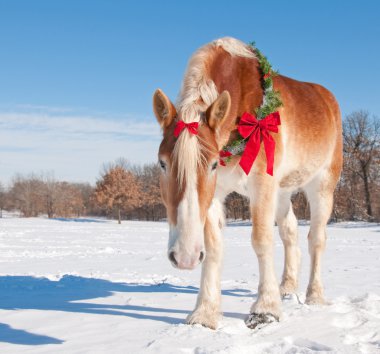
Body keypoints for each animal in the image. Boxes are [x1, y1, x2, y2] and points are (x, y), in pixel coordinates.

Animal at [153, 36, 342, 330]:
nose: (184, 257)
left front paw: (266, 309)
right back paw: (286, 287)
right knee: (290, 232)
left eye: (212, 164)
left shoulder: (261, 184)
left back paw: (314, 296)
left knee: (317, 239)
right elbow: (214, 247)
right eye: (162, 163)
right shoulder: (215, 193)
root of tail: (326, 98)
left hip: (322, 186)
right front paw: (205, 313)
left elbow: (261, 240)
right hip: (282, 192)